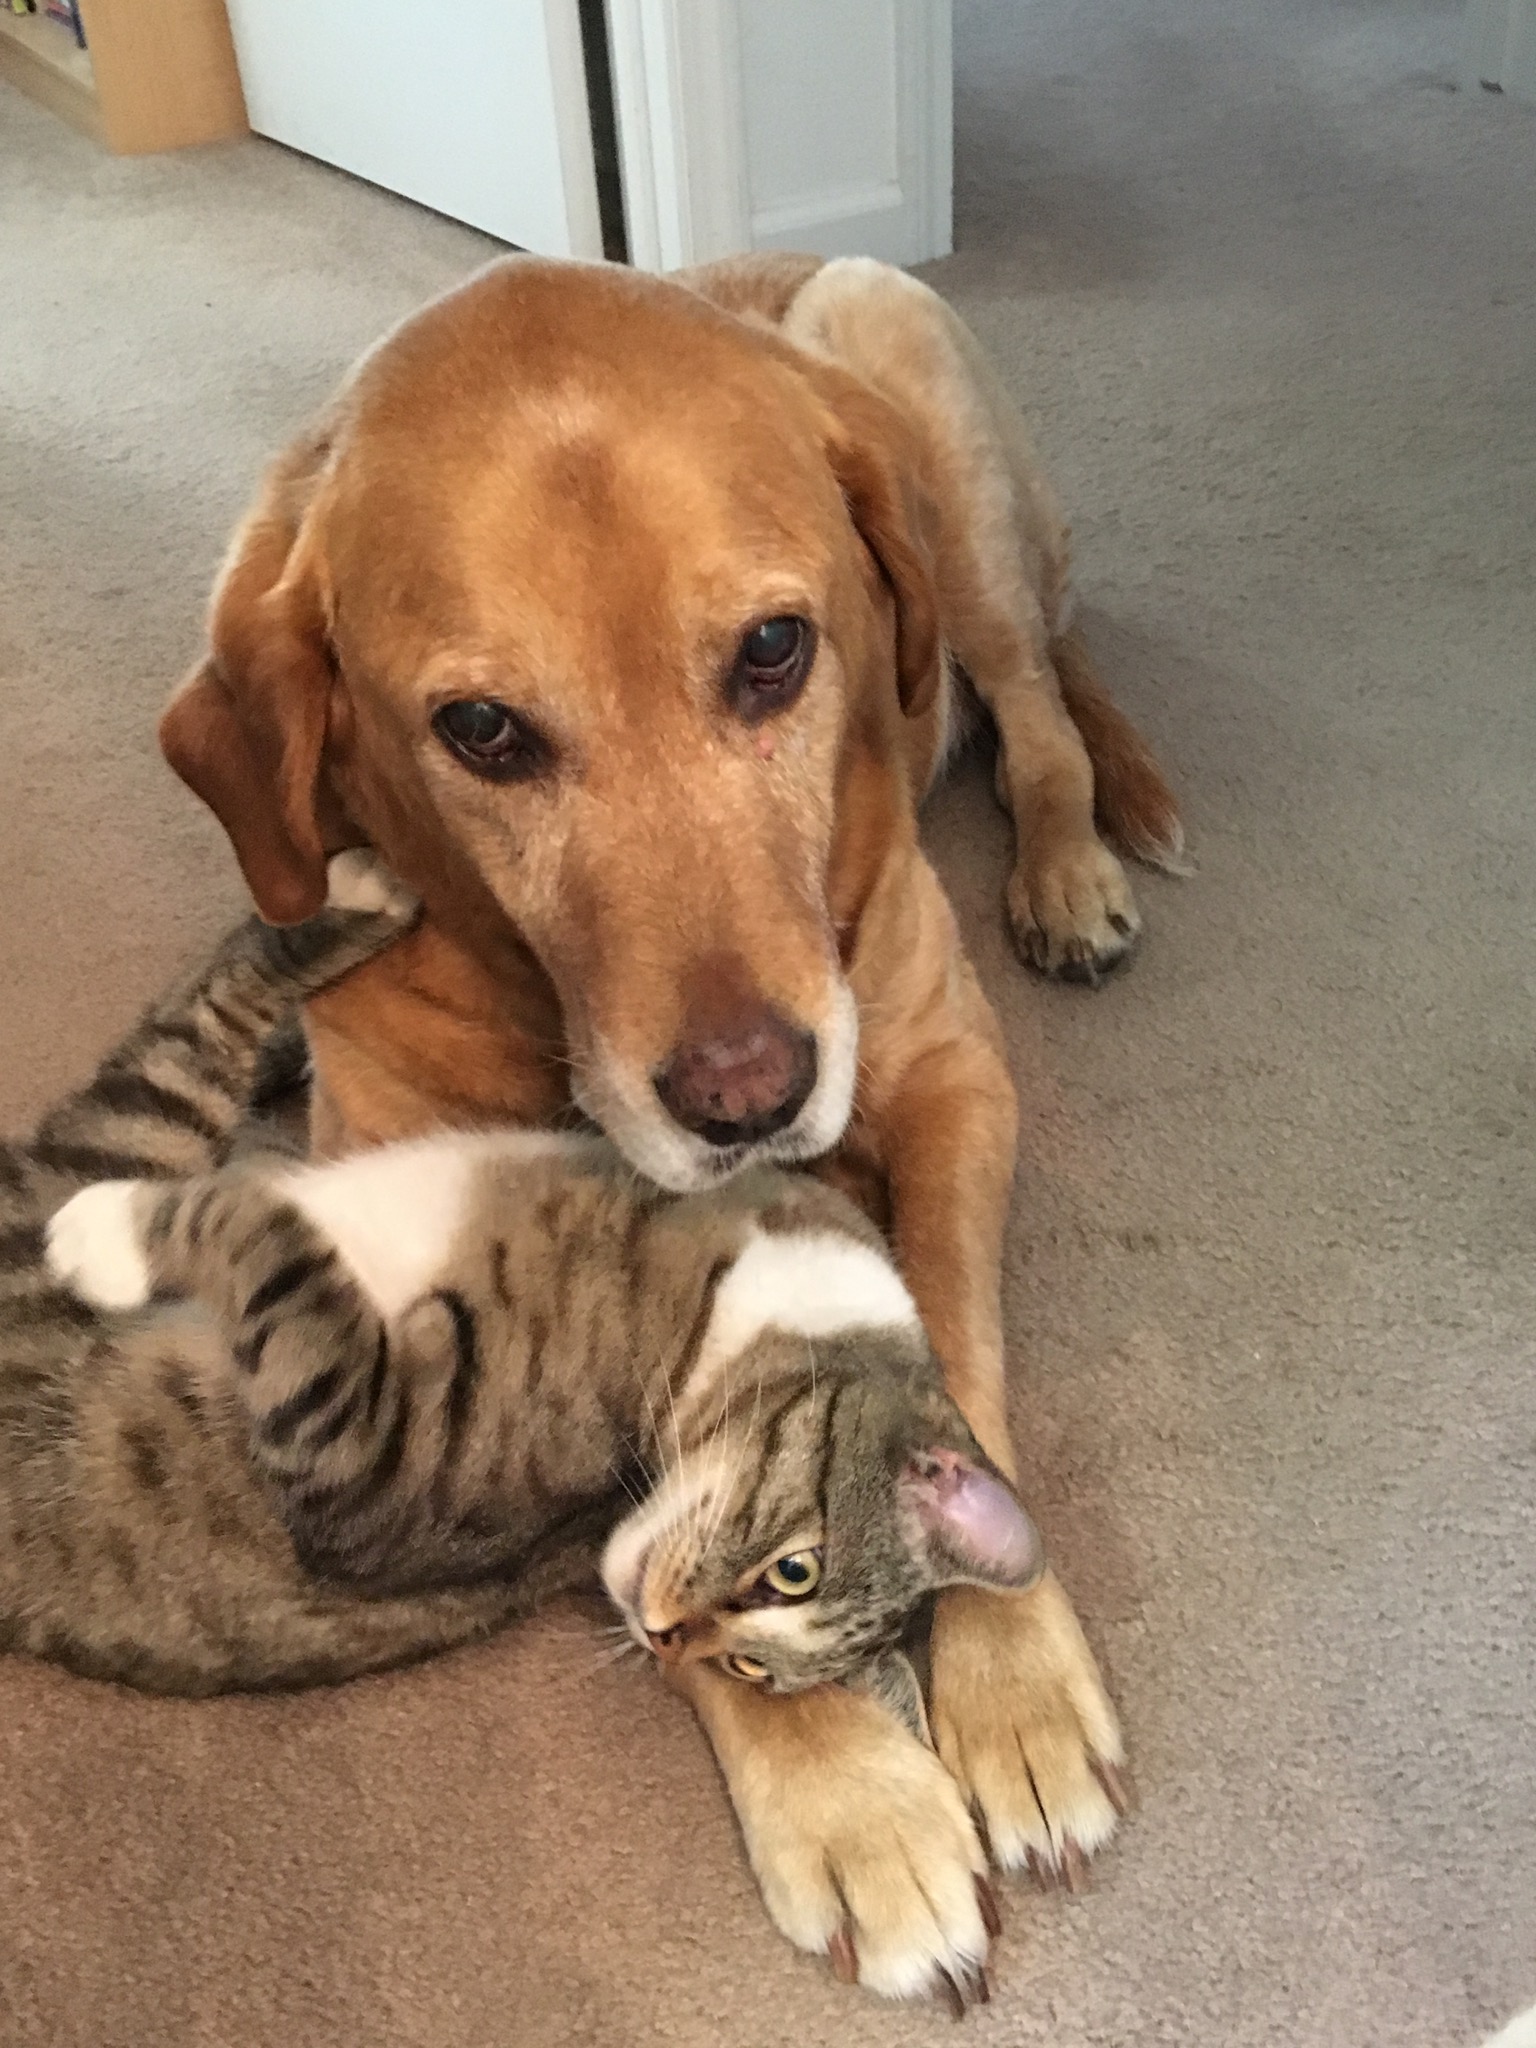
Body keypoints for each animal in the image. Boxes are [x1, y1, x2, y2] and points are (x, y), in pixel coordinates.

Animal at [3, 853, 1045, 1710]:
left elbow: (268, 1238)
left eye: (751, 1667)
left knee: (182, 1047)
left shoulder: (365, 1462)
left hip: (94, 1170)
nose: (664, 1639)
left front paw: (117, 1236)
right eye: (797, 1570)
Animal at [160, 253, 1180, 2001]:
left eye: (774, 649)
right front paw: (855, 1805)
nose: (747, 1100)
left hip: (939, 454)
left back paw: (1067, 875)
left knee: (1039, 714)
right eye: (483, 731)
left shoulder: (949, 1081)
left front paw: (1014, 1686)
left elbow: (953, 1371)